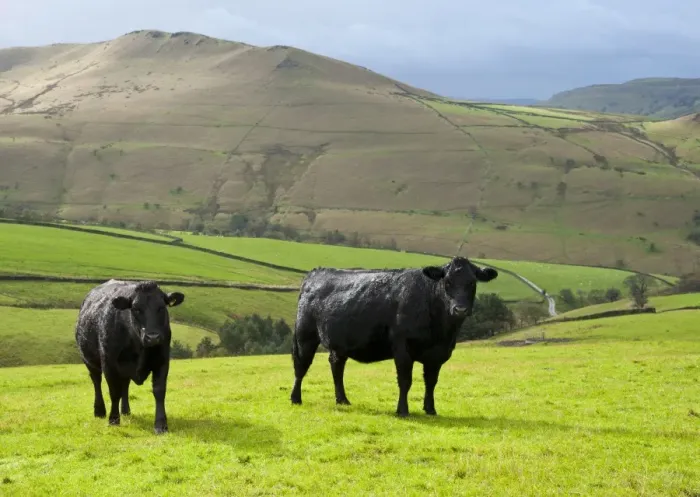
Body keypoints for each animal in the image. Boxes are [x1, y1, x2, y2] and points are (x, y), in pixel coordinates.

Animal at [75, 279, 185, 434]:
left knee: (125, 385)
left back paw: (125, 410)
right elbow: (114, 392)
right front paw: (113, 419)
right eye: (136, 309)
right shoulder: (109, 364)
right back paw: (100, 411)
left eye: (162, 307)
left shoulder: (162, 360)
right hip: (90, 362)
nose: (153, 337)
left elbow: (159, 391)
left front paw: (161, 424)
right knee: (97, 382)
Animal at [290, 256, 498, 417]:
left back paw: (342, 400)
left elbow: (431, 381)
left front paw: (430, 409)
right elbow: (405, 380)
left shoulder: (437, 354)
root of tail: (317, 272)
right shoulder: (402, 348)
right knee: (301, 365)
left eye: (472, 283)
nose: (460, 309)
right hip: (305, 335)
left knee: (336, 366)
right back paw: (295, 398)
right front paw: (403, 410)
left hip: (340, 343)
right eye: (447, 282)